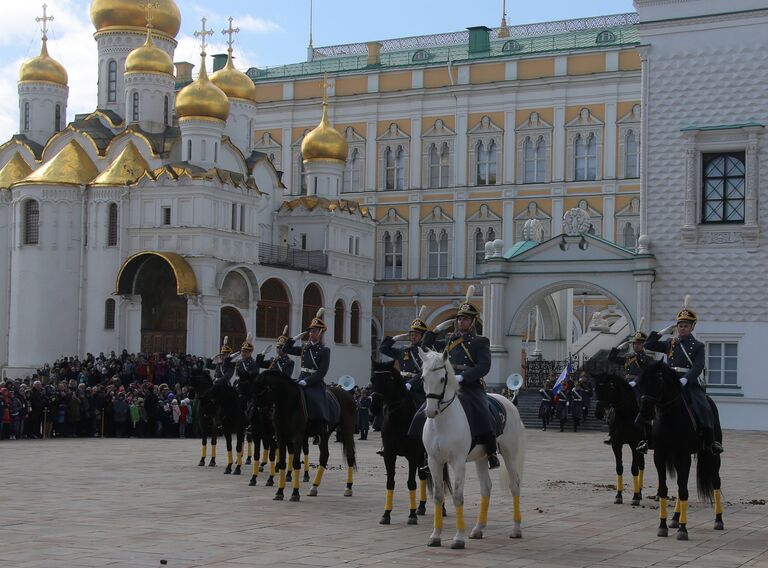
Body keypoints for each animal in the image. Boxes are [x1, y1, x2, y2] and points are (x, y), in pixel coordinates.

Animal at [255, 370, 356, 504]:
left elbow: (296, 462)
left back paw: (348, 488)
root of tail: (347, 394)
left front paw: (295, 493)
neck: (289, 404)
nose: (257, 409)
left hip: (347, 429)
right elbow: (282, 463)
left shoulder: (297, 437)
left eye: (263, 390)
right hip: (325, 433)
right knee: (324, 456)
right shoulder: (280, 436)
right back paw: (314, 487)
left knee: (350, 455)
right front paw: (279, 492)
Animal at [372, 362, 432, 524]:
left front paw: (411, 515)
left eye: (388, 380)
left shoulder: (412, 455)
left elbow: (411, 483)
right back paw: (421, 506)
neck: (399, 420)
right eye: (372, 379)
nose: (374, 407)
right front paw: (386, 514)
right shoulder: (389, 454)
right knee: (423, 475)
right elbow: (390, 482)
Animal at [416, 348, 524, 548]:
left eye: (442, 379)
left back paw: (516, 529)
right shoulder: (434, 461)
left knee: (515, 485)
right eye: (423, 378)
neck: (442, 421)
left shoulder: (458, 462)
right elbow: (438, 496)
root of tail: (508, 403)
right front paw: (435, 536)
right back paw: (478, 529)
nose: (431, 411)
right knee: (486, 487)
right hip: (482, 457)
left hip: (509, 454)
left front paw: (458, 538)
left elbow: (458, 496)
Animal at [584, 356, 644, 506]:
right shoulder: (616, 444)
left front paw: (635, 497)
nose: (599, 413)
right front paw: (619, 495)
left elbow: (634, 469)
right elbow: (619, 468)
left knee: (641, 466)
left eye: (609, 388)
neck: (625, 416)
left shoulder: (634, 444)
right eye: (595, 388)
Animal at [632, 362, 724, 540]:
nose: (644, 414)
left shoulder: (684, 455)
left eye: (659, 381)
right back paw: (675, 518)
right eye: (640, 382)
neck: (670, 417)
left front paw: (683, 529)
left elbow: (683, 490)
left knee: (716, 482)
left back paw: (718, 520)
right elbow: (665, 489)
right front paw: (663, 526)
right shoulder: (660, 456)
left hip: (712, 455)